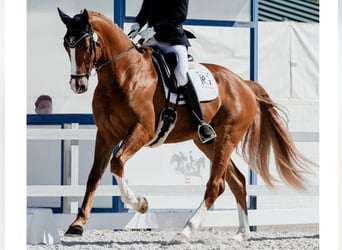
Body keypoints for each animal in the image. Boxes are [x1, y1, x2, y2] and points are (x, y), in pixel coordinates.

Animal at [58, 8, 312, 243]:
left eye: (87, 44)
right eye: (66, 45)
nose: (77, 86)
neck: (124, 74)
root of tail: (243, 83)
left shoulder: (142, 130)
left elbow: (117, 162)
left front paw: (140, 203)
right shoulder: (106, 134)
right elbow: (94, 175)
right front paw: (77, 224)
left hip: (228, 136)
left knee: (216, 185)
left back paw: (185, 232)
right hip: (208, 142)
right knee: (237, 181)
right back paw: (241, 233)